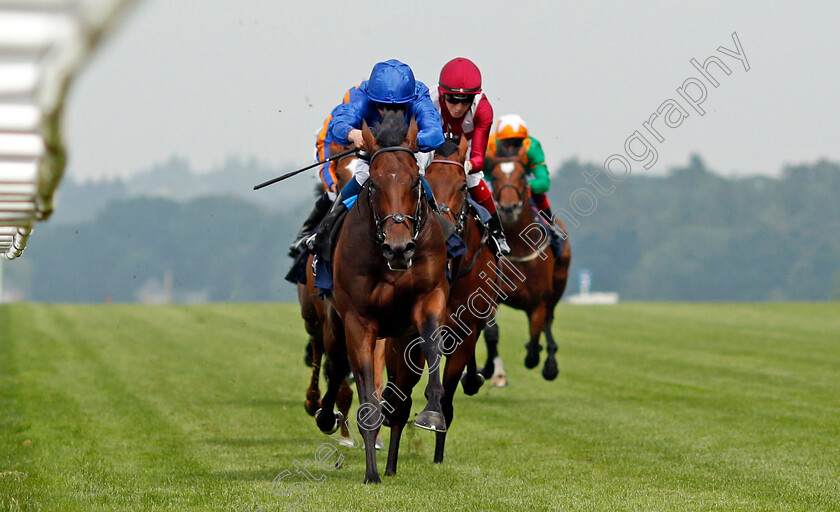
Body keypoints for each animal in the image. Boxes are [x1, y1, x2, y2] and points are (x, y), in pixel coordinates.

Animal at [316, 112, 450, 484]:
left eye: (415, 181)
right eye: (374, 185)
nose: (399, 248)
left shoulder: (428, 300)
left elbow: (432, 347)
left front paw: (433, 412)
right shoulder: (358, 322)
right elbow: (366, 396)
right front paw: (371, 474)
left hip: (399, 340)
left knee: (400, 401)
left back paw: (391, 465)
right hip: (335, 325)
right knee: (336, 366)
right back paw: (327, 417)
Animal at [482, 146, 576, 382]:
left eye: (522, 176)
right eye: (494, 177)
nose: (508, 208)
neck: (517, 246)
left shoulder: (538, 302)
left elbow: (534, 342)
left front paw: (541, 358)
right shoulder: (491, 295)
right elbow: (491, 333)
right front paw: (489, 369)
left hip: (557, 287)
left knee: (548, 321)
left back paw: (550, 362)